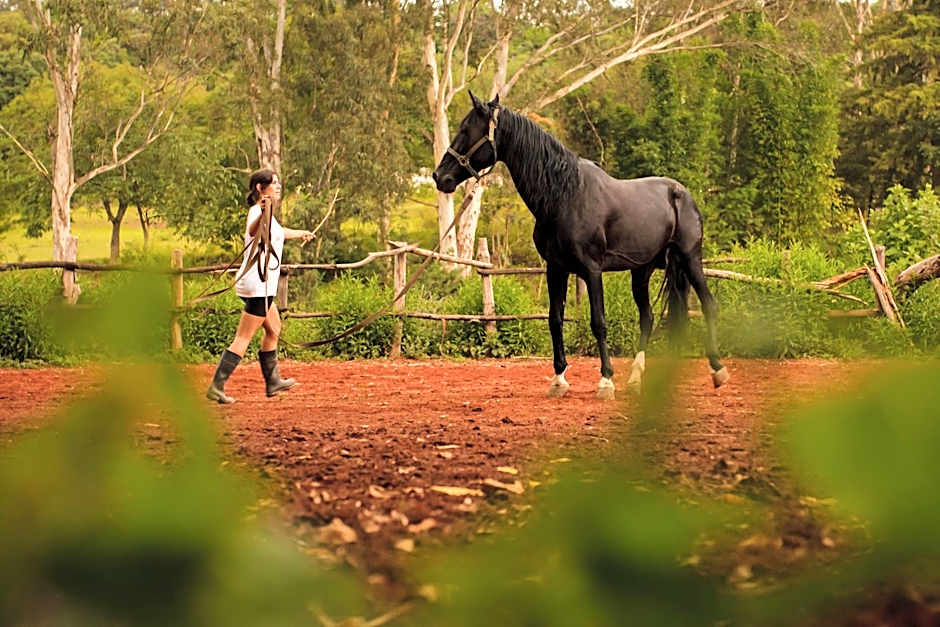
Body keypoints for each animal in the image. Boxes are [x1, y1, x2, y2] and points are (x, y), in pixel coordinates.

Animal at [432, 92, 729, 399]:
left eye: (466, 130)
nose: (439, 177)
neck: (564, 196)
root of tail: (683, 194)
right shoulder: (556, 269)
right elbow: (555, 319)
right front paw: (558, 380)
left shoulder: (592, 270)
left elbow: (598, 322)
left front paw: (606, 381)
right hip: (642, 270)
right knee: (647, 317)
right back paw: (637, 379)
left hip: (690, 258)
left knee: (708, 305)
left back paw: (717, 370)